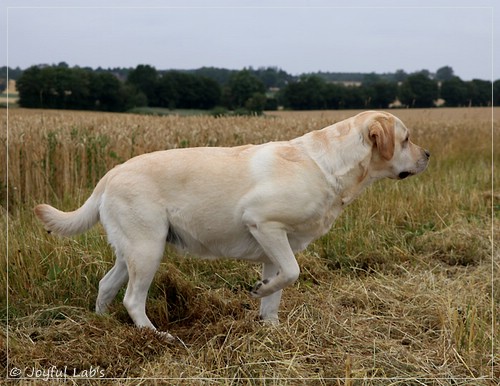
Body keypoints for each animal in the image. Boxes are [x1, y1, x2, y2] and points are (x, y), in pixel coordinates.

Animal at [35, 111, 428, 334]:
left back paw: (102, 324)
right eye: (406, 138)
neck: (327, 165)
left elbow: (278, 292)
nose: (427, 154)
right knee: (133, 299)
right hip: (148, 249)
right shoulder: (263, 222)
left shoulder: (276, 246)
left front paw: (271, 328)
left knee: (105, 286)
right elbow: (293, 273)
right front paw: (258, 293)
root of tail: (111, 173)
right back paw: (155, 335)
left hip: (132, 250)